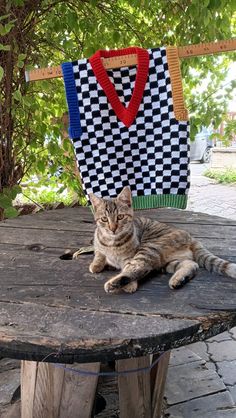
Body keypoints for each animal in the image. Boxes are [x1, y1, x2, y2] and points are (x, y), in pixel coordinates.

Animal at [88, 186, 236, 294]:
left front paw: (131, 285)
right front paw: (96, 264)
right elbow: (99, 253)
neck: (112, 242)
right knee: (191, 264)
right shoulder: (98, 244)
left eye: (120, 217)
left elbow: (128, 267)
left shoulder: (130, 257)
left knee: (139, 267)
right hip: (165, 262)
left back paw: (114, 283)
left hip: (150, 248)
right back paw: (178, 280)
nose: (112, 228)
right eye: (104, 219)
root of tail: (191, 237)